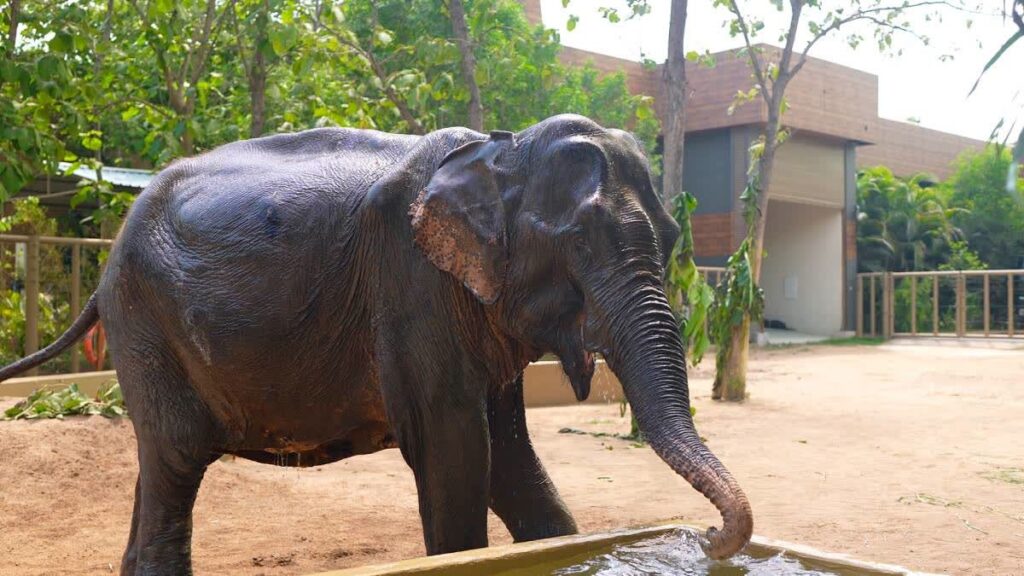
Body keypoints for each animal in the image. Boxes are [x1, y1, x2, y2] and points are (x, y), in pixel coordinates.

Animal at [0, 114, 752, 574]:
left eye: (673, 239)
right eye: (578, 246)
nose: (708, 538)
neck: (499, 151)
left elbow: (510, 458)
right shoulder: (412, 283)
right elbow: (455, 450)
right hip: (144, 321)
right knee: (177, 454)